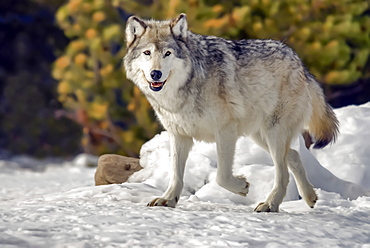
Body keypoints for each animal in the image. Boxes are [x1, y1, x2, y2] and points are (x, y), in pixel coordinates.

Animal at [123, 13, 338, 211]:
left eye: (167, 53)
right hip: (260, 136)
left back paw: (270, 204)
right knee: (293, 155)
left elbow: (222, 177)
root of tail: (300, 63)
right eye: (147, 53)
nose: (155, 74)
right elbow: (175, 174)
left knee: (282, 171)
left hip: (273, 133)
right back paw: (310, 197)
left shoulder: (226, 130)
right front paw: (168, 200)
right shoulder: (179, 135)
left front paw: (242, 186)